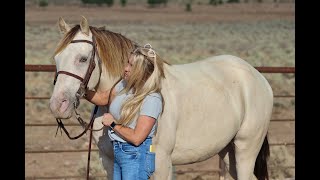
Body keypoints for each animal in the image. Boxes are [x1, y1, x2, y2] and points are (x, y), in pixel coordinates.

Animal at [49, 16, 272, 180]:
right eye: (56, 59)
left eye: (83, 59)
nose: (58, 105)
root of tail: (258, 77)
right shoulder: (110, 162)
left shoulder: (162, 163)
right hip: (228, 151)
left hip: (245, 149)